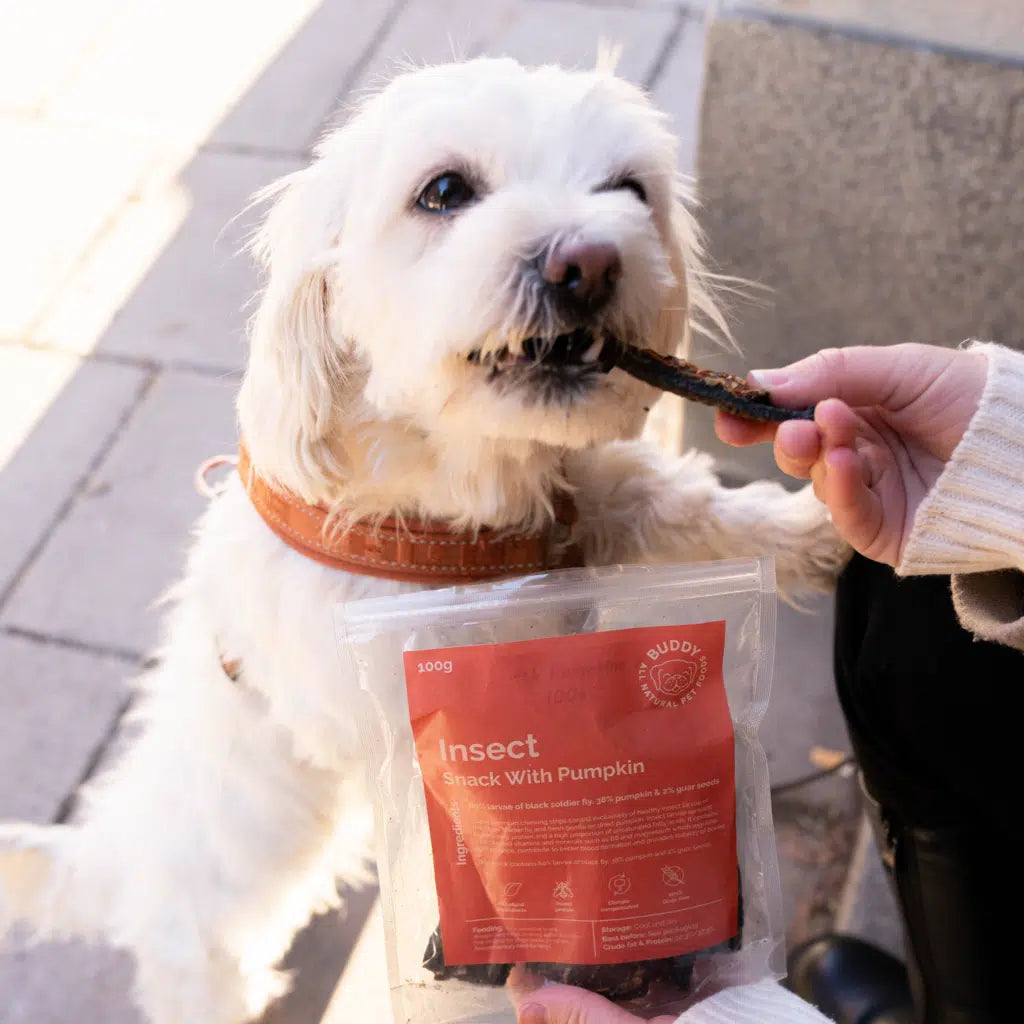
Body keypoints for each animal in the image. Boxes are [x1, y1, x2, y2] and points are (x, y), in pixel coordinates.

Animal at [0, 58, 843, 1024]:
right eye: (443, 192)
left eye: (631, 190)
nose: (590, 262)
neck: (454, 514)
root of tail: (110, 856)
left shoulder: (586, 515)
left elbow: (672, 501)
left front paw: (819, 528)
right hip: (206, 959)